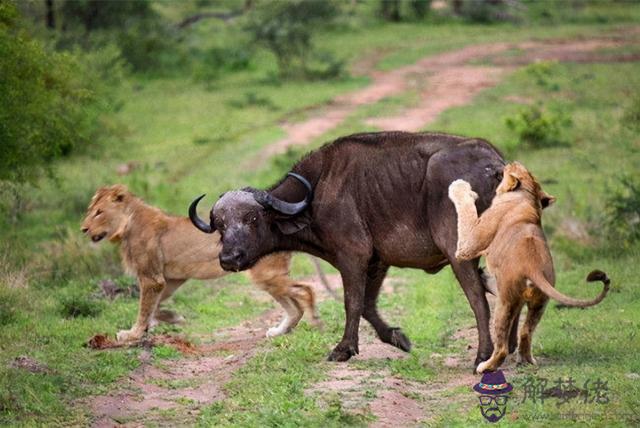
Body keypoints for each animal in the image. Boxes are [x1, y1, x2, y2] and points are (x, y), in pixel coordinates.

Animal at [81, 184, 318, 342]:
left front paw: (133, 334)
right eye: (90, 211)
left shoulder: (152, 278)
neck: (127, 225)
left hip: (265, 275)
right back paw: (280, 331)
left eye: (99, 212)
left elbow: (144, 308)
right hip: (267, 278)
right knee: (294, 306)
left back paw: (316, 323)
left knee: (305, 291)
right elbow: (154, 307)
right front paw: (172, 318)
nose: (83, 229)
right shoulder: (170, 279)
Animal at [190, 132, 504, 366]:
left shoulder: (353, 256)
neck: (316, 191)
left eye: (252, 218)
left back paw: (483, 356)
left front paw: (343, 349)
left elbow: (351, 302)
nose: (229, 258)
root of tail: (495, 165)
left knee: (478, 299)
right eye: (219, 225)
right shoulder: (377, 262)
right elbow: (367, 305)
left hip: (460, 254)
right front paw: (397, 338)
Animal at [448, 162, 608, 372]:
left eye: (514, 167)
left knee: (502, 347)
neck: (526, 196)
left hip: (505, 303)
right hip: (539, 303)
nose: (509, 163)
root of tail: (534, 269)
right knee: (525, 332)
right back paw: (526, 360)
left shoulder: (469, 244)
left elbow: (466, 211)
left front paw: (459, 187)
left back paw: (485, 366)